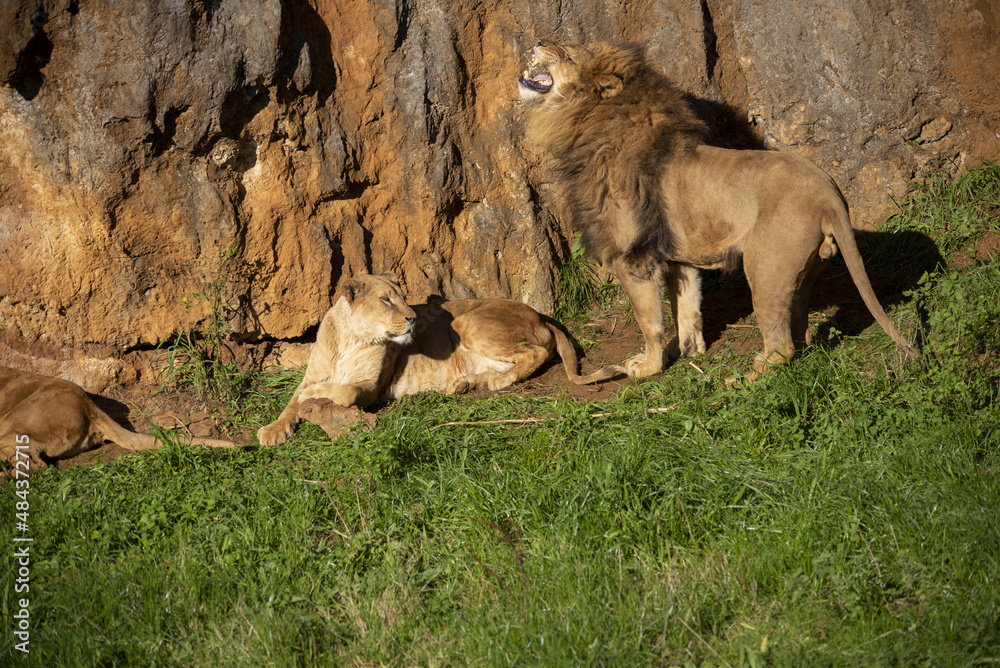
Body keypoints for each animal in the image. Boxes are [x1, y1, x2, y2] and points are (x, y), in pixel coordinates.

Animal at [257, 273, 621, 446]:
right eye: (386, 300)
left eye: (404, 299)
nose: (412, 319)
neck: (352, 336)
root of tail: (540, 315)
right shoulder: (312, 373)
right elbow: (290, 403)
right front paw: (273, 431)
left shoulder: (372, 388)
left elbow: (342, 391)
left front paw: (314, 395)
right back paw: (464, 384)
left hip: (466, 322)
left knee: (536, 353)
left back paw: (496, 381)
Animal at [518, 40, 918, 380]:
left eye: (569, 52)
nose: (537, 41)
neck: (587, 125)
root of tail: (829, 193)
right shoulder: (679, 258)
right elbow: (687, 310)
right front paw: (688, 352)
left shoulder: (633, 258)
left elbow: (650, 322)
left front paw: (647, 367)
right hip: (806, 269)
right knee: (799, 328)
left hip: (765, 268)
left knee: (781, 345)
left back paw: (746, 380)